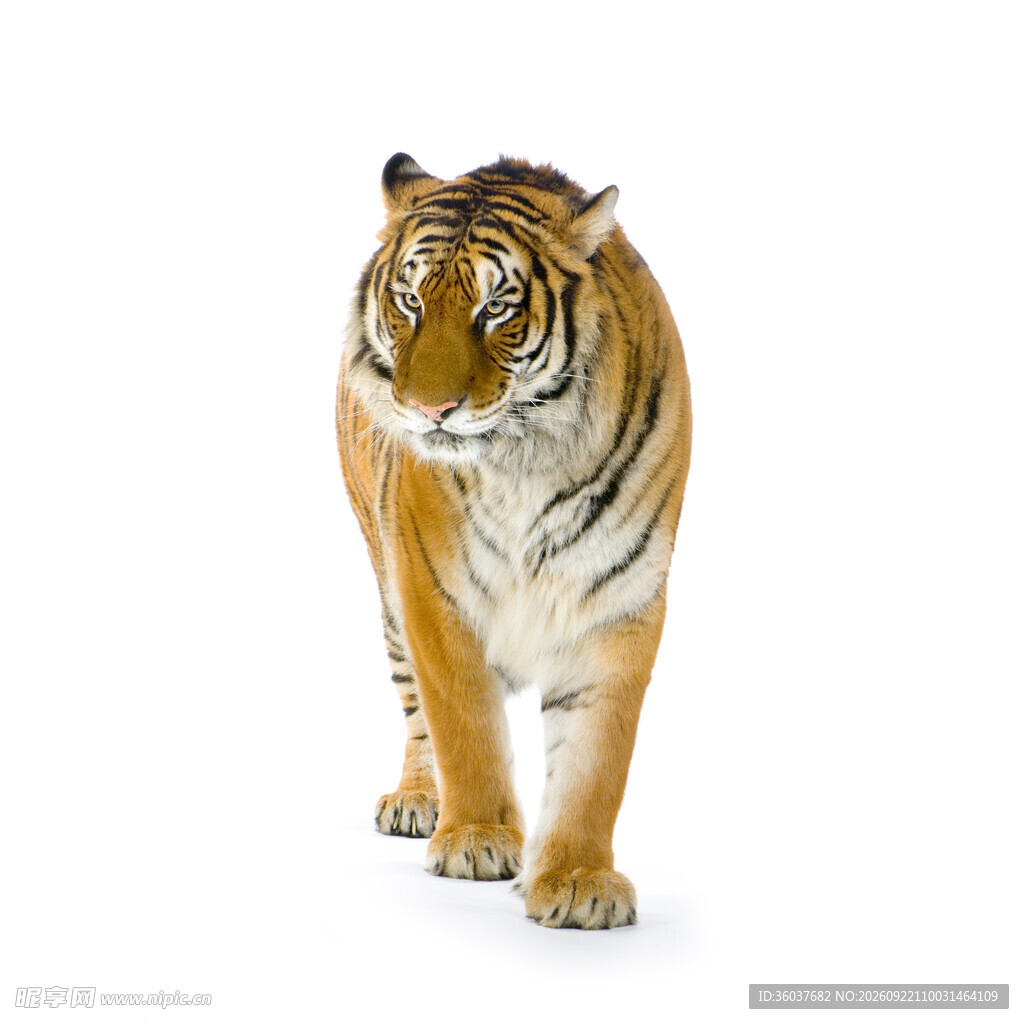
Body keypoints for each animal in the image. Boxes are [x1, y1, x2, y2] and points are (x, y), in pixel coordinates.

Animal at [336, 153, 691, 929]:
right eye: (409, 300)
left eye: (495, 308)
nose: (430, 409)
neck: (526, 458)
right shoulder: (432, 590)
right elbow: (463, 722)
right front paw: (476, 838)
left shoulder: (618, 598)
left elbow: (595, 761)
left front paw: (579, 878)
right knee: (416, 711)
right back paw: (417, 801)